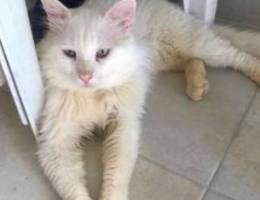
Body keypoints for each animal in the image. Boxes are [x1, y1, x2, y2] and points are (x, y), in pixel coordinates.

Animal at [34, 0, 260, 200]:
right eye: (70, 54)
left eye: (102, 53)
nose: (85, 77)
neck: (94, 94)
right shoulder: (54, 143)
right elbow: (73, 190)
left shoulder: (123, 125)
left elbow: (115, 175)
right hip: (167, 58)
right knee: (194, 61)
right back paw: (197, 87)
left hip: (198, 45)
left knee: (236, 55)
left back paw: (254, 74)